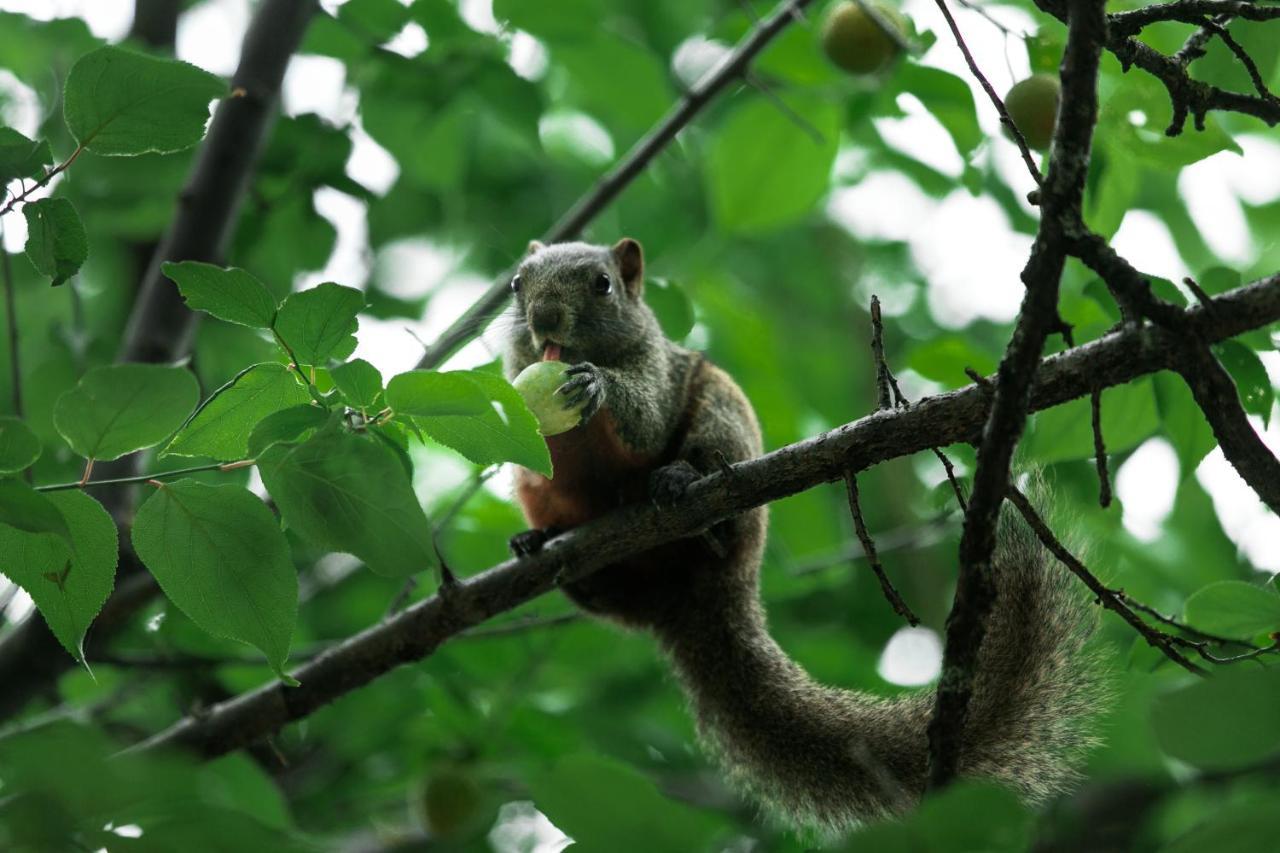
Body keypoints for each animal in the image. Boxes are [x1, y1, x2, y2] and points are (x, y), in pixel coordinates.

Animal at [499, 236, 1100, 829]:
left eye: (602, 285)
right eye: (516, 283)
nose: (544, 317)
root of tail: (692, 597)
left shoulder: (660, 373)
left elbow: (644, 416)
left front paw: (597, 384)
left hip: (723, 416)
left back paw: (684, 492)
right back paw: (541, 545)